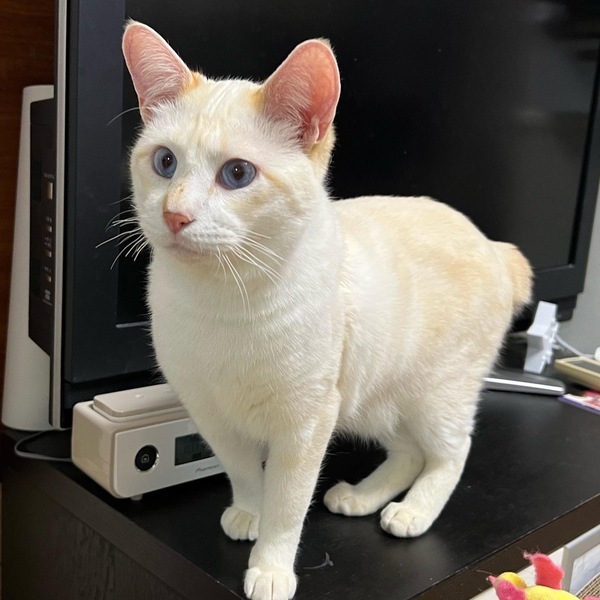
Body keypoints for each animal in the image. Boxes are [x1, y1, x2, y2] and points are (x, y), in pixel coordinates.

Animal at [122, 21, 532, 600]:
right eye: (164, 162)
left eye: (237, 174)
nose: (175, 214)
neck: (222, 301)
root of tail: (492, 244)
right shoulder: (210, 413)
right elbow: (243, 472)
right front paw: (248, 513)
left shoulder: (306, 422)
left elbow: (288, 504)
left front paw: (271, 567)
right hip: (371, 397)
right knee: (407, 451)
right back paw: (360, 497)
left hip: (435, 394)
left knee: (451, 452)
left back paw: (412, 513)